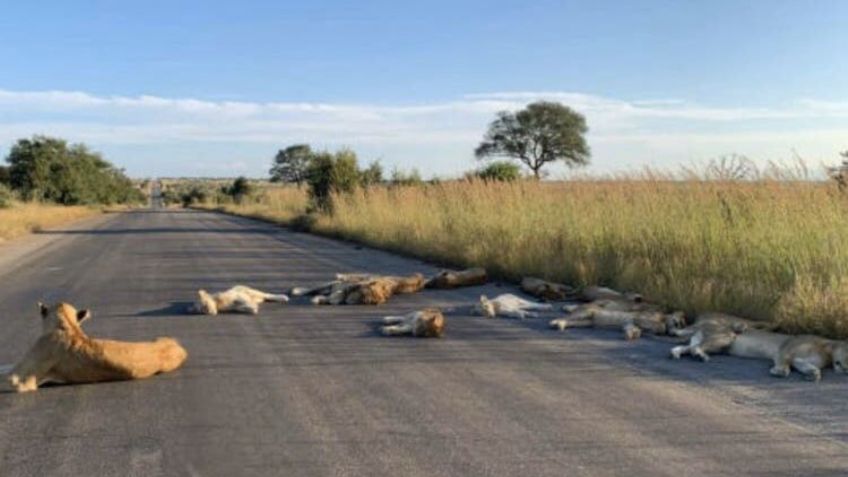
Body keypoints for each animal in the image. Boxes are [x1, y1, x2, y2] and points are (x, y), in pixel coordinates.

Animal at [548, 300, 684, 340]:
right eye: (678, 323)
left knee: (570, 321)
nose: (673, 334)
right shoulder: (638, 317)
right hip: (585, 312)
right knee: (566, 317)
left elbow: (631, 328)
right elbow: (658, 325)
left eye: (682, 325)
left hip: (585, 322)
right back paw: (554, 322)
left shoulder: (629, 323)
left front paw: (633, 334)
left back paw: (560, 325)